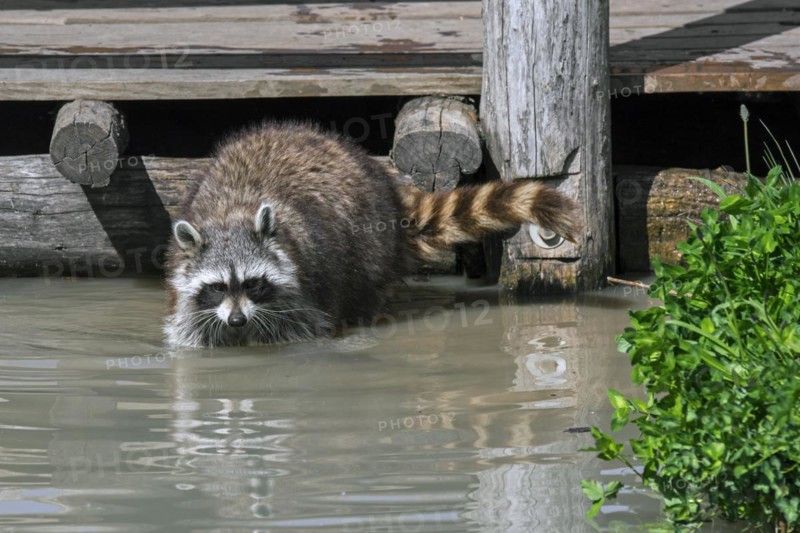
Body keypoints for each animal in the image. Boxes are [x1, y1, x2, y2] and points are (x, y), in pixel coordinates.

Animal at [164, 122, 579, 347]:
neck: (231, 214)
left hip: (369, 248)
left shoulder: (302, 285)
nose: (237, 321)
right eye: (218, 286)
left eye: (252, 283)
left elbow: (301, 329)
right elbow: (192, 327)